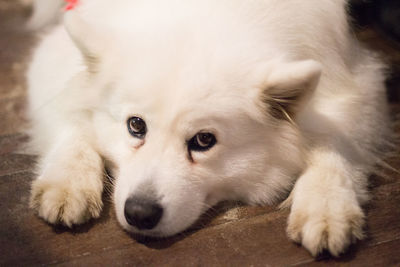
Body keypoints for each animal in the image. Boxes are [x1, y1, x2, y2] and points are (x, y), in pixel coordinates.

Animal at [27, 0, 390, 260]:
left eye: (203, 140)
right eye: (136, 125)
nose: (140, 213)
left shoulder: (354, 84)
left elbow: (335, 143)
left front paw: (326, 205)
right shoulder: (51, 58)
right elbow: (71, 114)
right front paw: (68, 180)